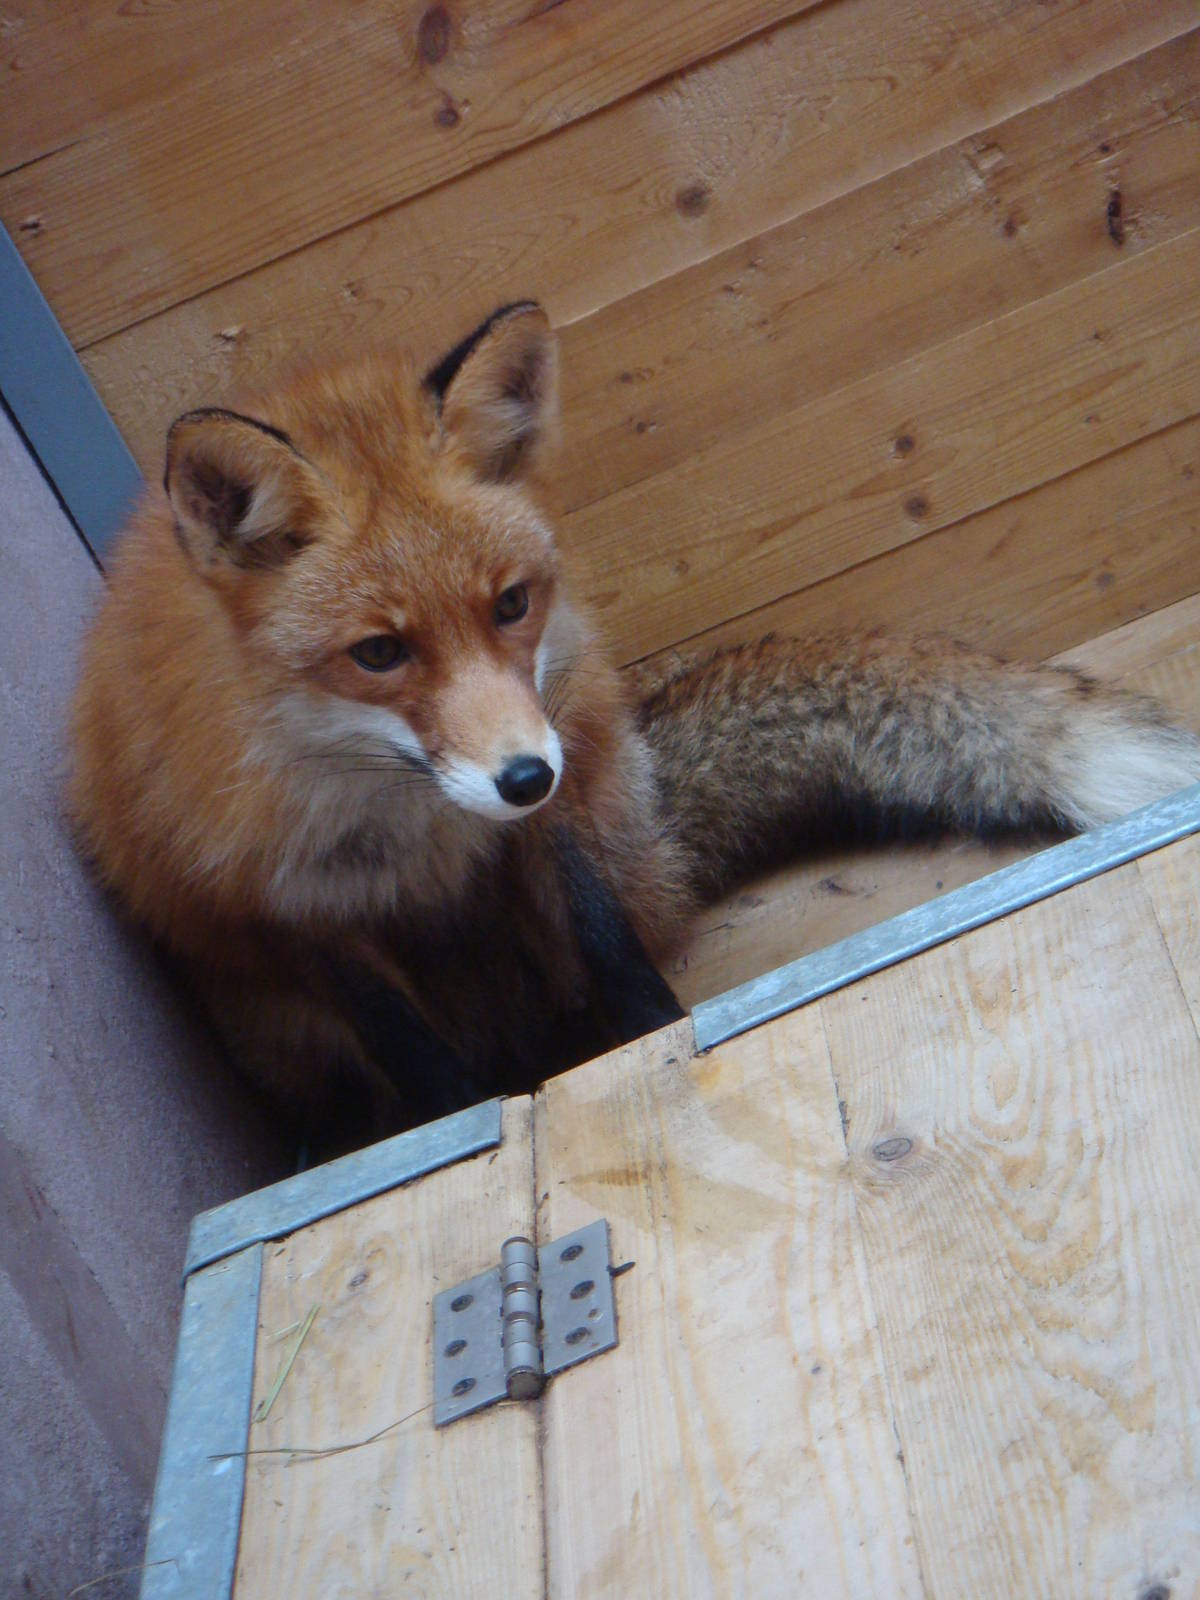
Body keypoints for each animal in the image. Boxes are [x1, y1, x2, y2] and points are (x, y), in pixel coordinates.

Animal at [71, 301, 1200, 1147]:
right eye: (379, 653)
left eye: (511, 604)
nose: (523, 776)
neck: (411, 818)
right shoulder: (287, 909)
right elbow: (421, 1063)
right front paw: (464, 1128)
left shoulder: (557, 799)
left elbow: (612, 949)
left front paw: (656, 1051)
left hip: (603, 813)